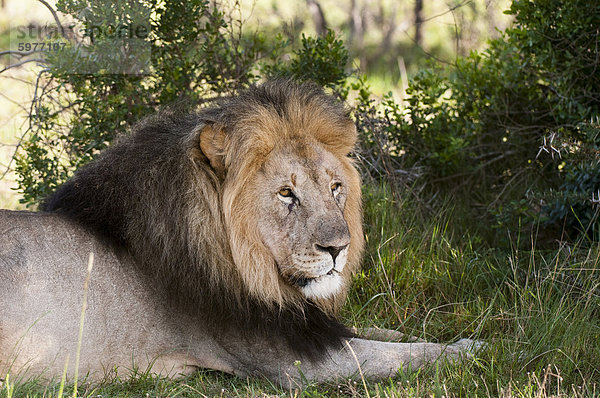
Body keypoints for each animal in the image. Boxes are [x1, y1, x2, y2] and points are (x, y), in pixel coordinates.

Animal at [0, 79, 474, 384]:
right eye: (286, 193)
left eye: (335, 188)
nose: (339, 247)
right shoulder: (297, 363)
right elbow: (408, 354)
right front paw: (473, 349)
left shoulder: (311, 328)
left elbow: (391, 334)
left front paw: (461, 336)